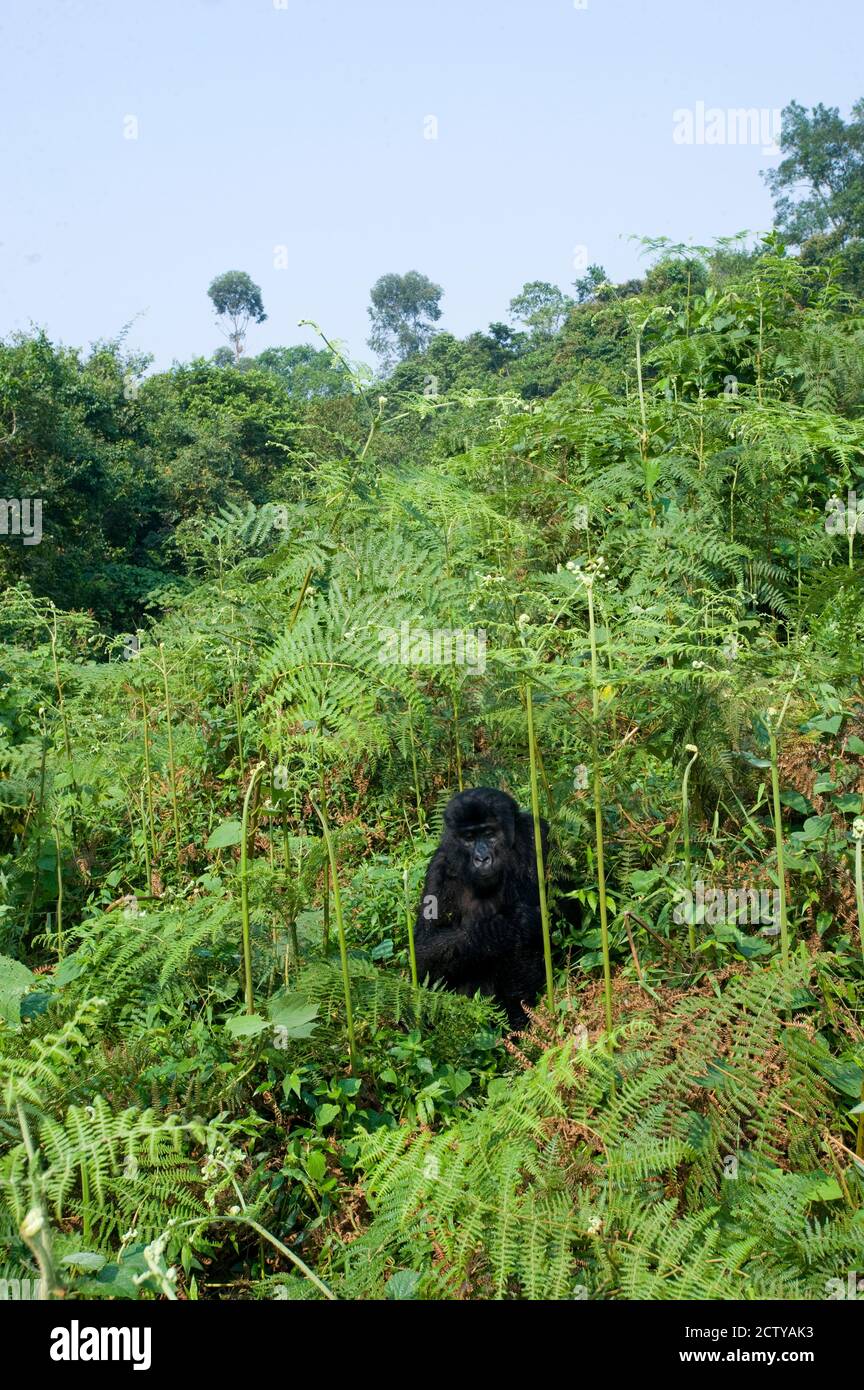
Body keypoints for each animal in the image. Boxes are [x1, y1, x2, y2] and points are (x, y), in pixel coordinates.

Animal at [416, 789, 552, 1028]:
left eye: (489, 834)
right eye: (469, 838)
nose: (481, 858)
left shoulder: (535, 836)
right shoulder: (440, 868)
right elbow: (424, 952)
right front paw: (502, 926)